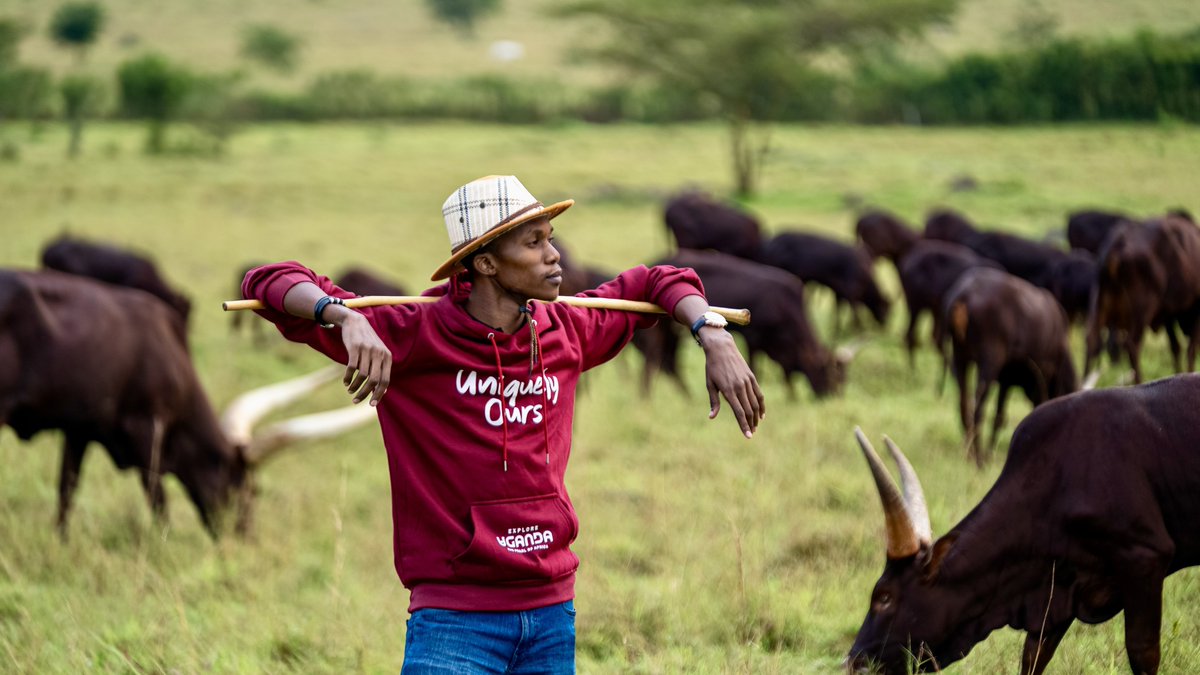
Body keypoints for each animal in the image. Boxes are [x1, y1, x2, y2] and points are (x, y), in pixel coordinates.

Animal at [0, 269, 371, 537]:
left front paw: (60, 541)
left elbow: (67, 489)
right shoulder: (146, 426)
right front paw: (163, 542)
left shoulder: (81, 428)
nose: (245, 537)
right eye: (248, 490)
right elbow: (156, 495)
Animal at [653, 250, 847, 399]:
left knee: (669, 361)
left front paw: (791, 396)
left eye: (842, 378)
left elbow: (786, 371)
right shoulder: (753, 338)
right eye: (829, 374)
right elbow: (756, 368)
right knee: (666, 360)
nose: (832, 398)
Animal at [757, 231, 891, 333]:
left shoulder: (839, 292)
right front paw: (857, 329)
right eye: (885, 308)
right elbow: (854, 309)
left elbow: (838, 309)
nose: (884, 329)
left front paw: (838, 330)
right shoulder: (850, 290)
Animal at [848, 374, 1200, 674]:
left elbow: (1142, 652)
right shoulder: (1055, 587)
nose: (854, 661)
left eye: (884, 597)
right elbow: (1033, 657)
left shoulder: (1145, 558)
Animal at [942, 267, 1077, 464]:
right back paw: (979, 458)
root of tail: (964, 294)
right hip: (989, 360)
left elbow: (999, 416)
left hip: (960, 357)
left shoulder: (1007, 379)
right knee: (978, 409)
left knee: (963, 404)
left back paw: (969, 453)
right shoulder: (1042, 375)